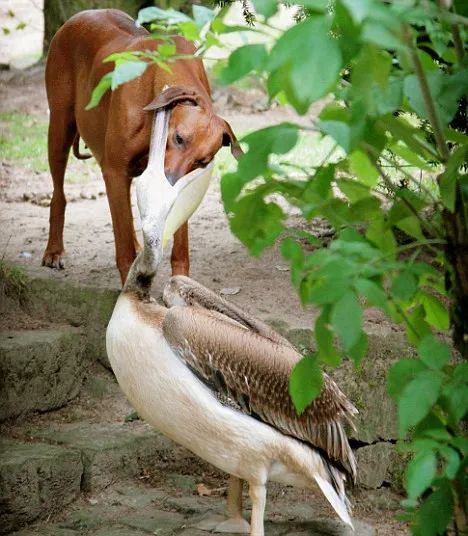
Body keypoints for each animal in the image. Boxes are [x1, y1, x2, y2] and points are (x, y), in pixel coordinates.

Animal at [42, 8, 241, 284]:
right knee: (59, 195)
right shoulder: (114, 172)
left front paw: (180, 282)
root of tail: (79, 15)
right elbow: (123, 245)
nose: (169, 181)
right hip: (59, 130)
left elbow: (179, 244)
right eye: (178, 138)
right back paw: (54, 250)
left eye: (202, 161)